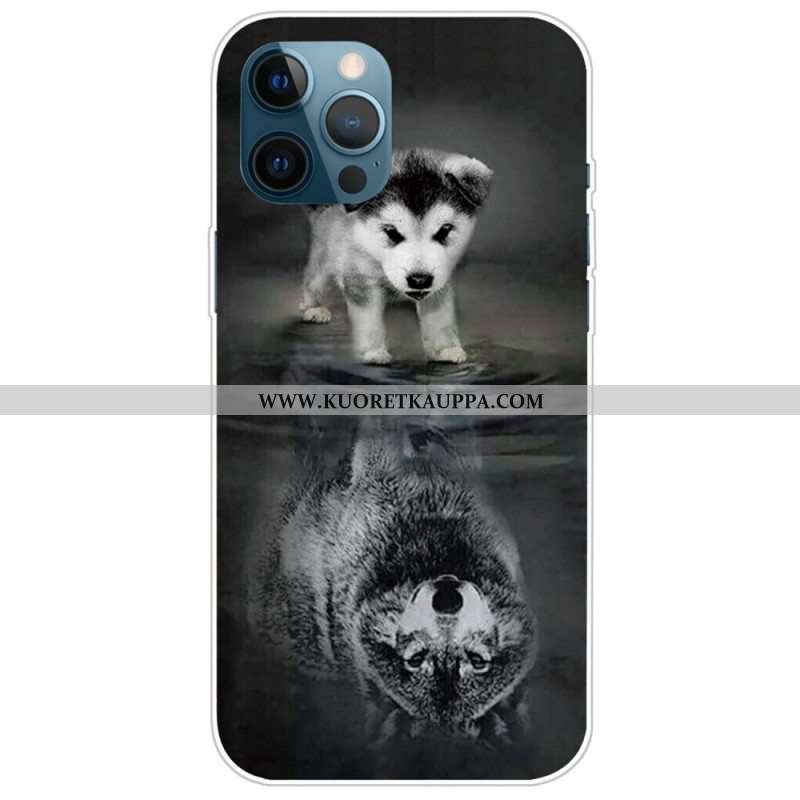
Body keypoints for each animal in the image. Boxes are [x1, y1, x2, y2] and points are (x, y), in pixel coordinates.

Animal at [299, 148, 493, 365]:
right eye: (391, 231)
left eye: (445, 230)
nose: (420, 279)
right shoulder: (361, 281)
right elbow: (368, 320)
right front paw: (373, 352)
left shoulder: (440, 282)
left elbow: (440, 317)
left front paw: (445, 348)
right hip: (324, 261)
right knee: (312, 281)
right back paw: (312, 308)